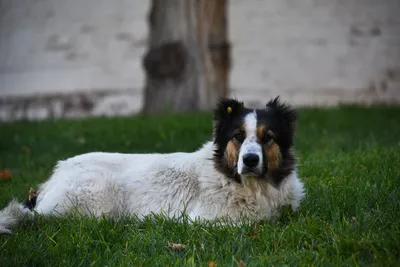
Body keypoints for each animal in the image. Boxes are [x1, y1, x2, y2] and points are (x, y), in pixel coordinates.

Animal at [0, 98, 304, 234]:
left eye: (267, 137)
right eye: (238, 136)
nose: (250, 160)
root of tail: (54, 176)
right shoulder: (205, 219)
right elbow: (253, 222)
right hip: (96, 195)